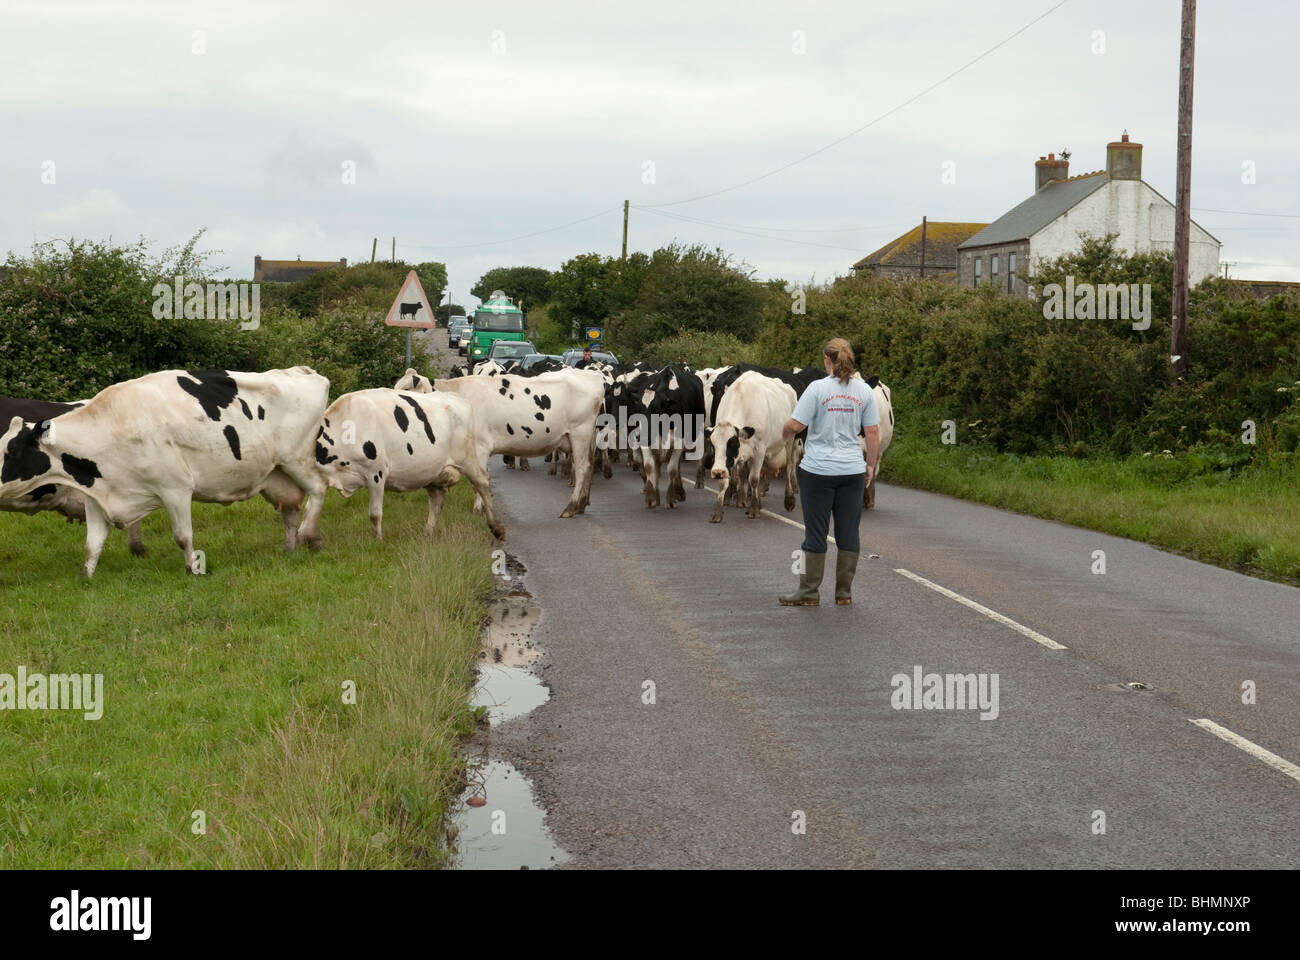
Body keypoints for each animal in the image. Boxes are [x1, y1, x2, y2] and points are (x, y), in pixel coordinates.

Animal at [0, 366, 330, 574]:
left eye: (11, 450)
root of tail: (299, 371)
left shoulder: (176, 488)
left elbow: (182, 535)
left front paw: (193, 568)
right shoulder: (97, 498)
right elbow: (92, 545)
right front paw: (86, 576)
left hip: (296, 459)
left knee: (317, 490)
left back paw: (309, 535)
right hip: (275, 474)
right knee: (289, 509)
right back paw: (289, 549)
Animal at [302, 387, 501, 538]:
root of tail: (456, 397)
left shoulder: (376, 474)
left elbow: (375, 514)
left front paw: (377, 540)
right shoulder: (322, 479)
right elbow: (308, 511)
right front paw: (303, 538)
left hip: (467, 458)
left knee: (482, 482)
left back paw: (496, 528)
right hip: (432, 472)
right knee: (437, 500)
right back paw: (427, 533)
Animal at [395, 366, 603, 515]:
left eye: (406, 388)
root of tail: (592, 376)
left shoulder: (480, 447)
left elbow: (477, 480)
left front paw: (478, 509)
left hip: (580, 433)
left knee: (582, 468)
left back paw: (571, 507)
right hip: (588, 436)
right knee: (590, 465)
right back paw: (582, 504)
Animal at [707, 369, 795, 520]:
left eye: (732, 444)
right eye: (713, 445)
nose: (717, 472)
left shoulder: (759, 450)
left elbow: (753, 479)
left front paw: (753, 509)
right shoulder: (733, 459)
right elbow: (727, 480)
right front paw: (718, 512)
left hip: (790, 441)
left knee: (789, 468)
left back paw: (789, 500)